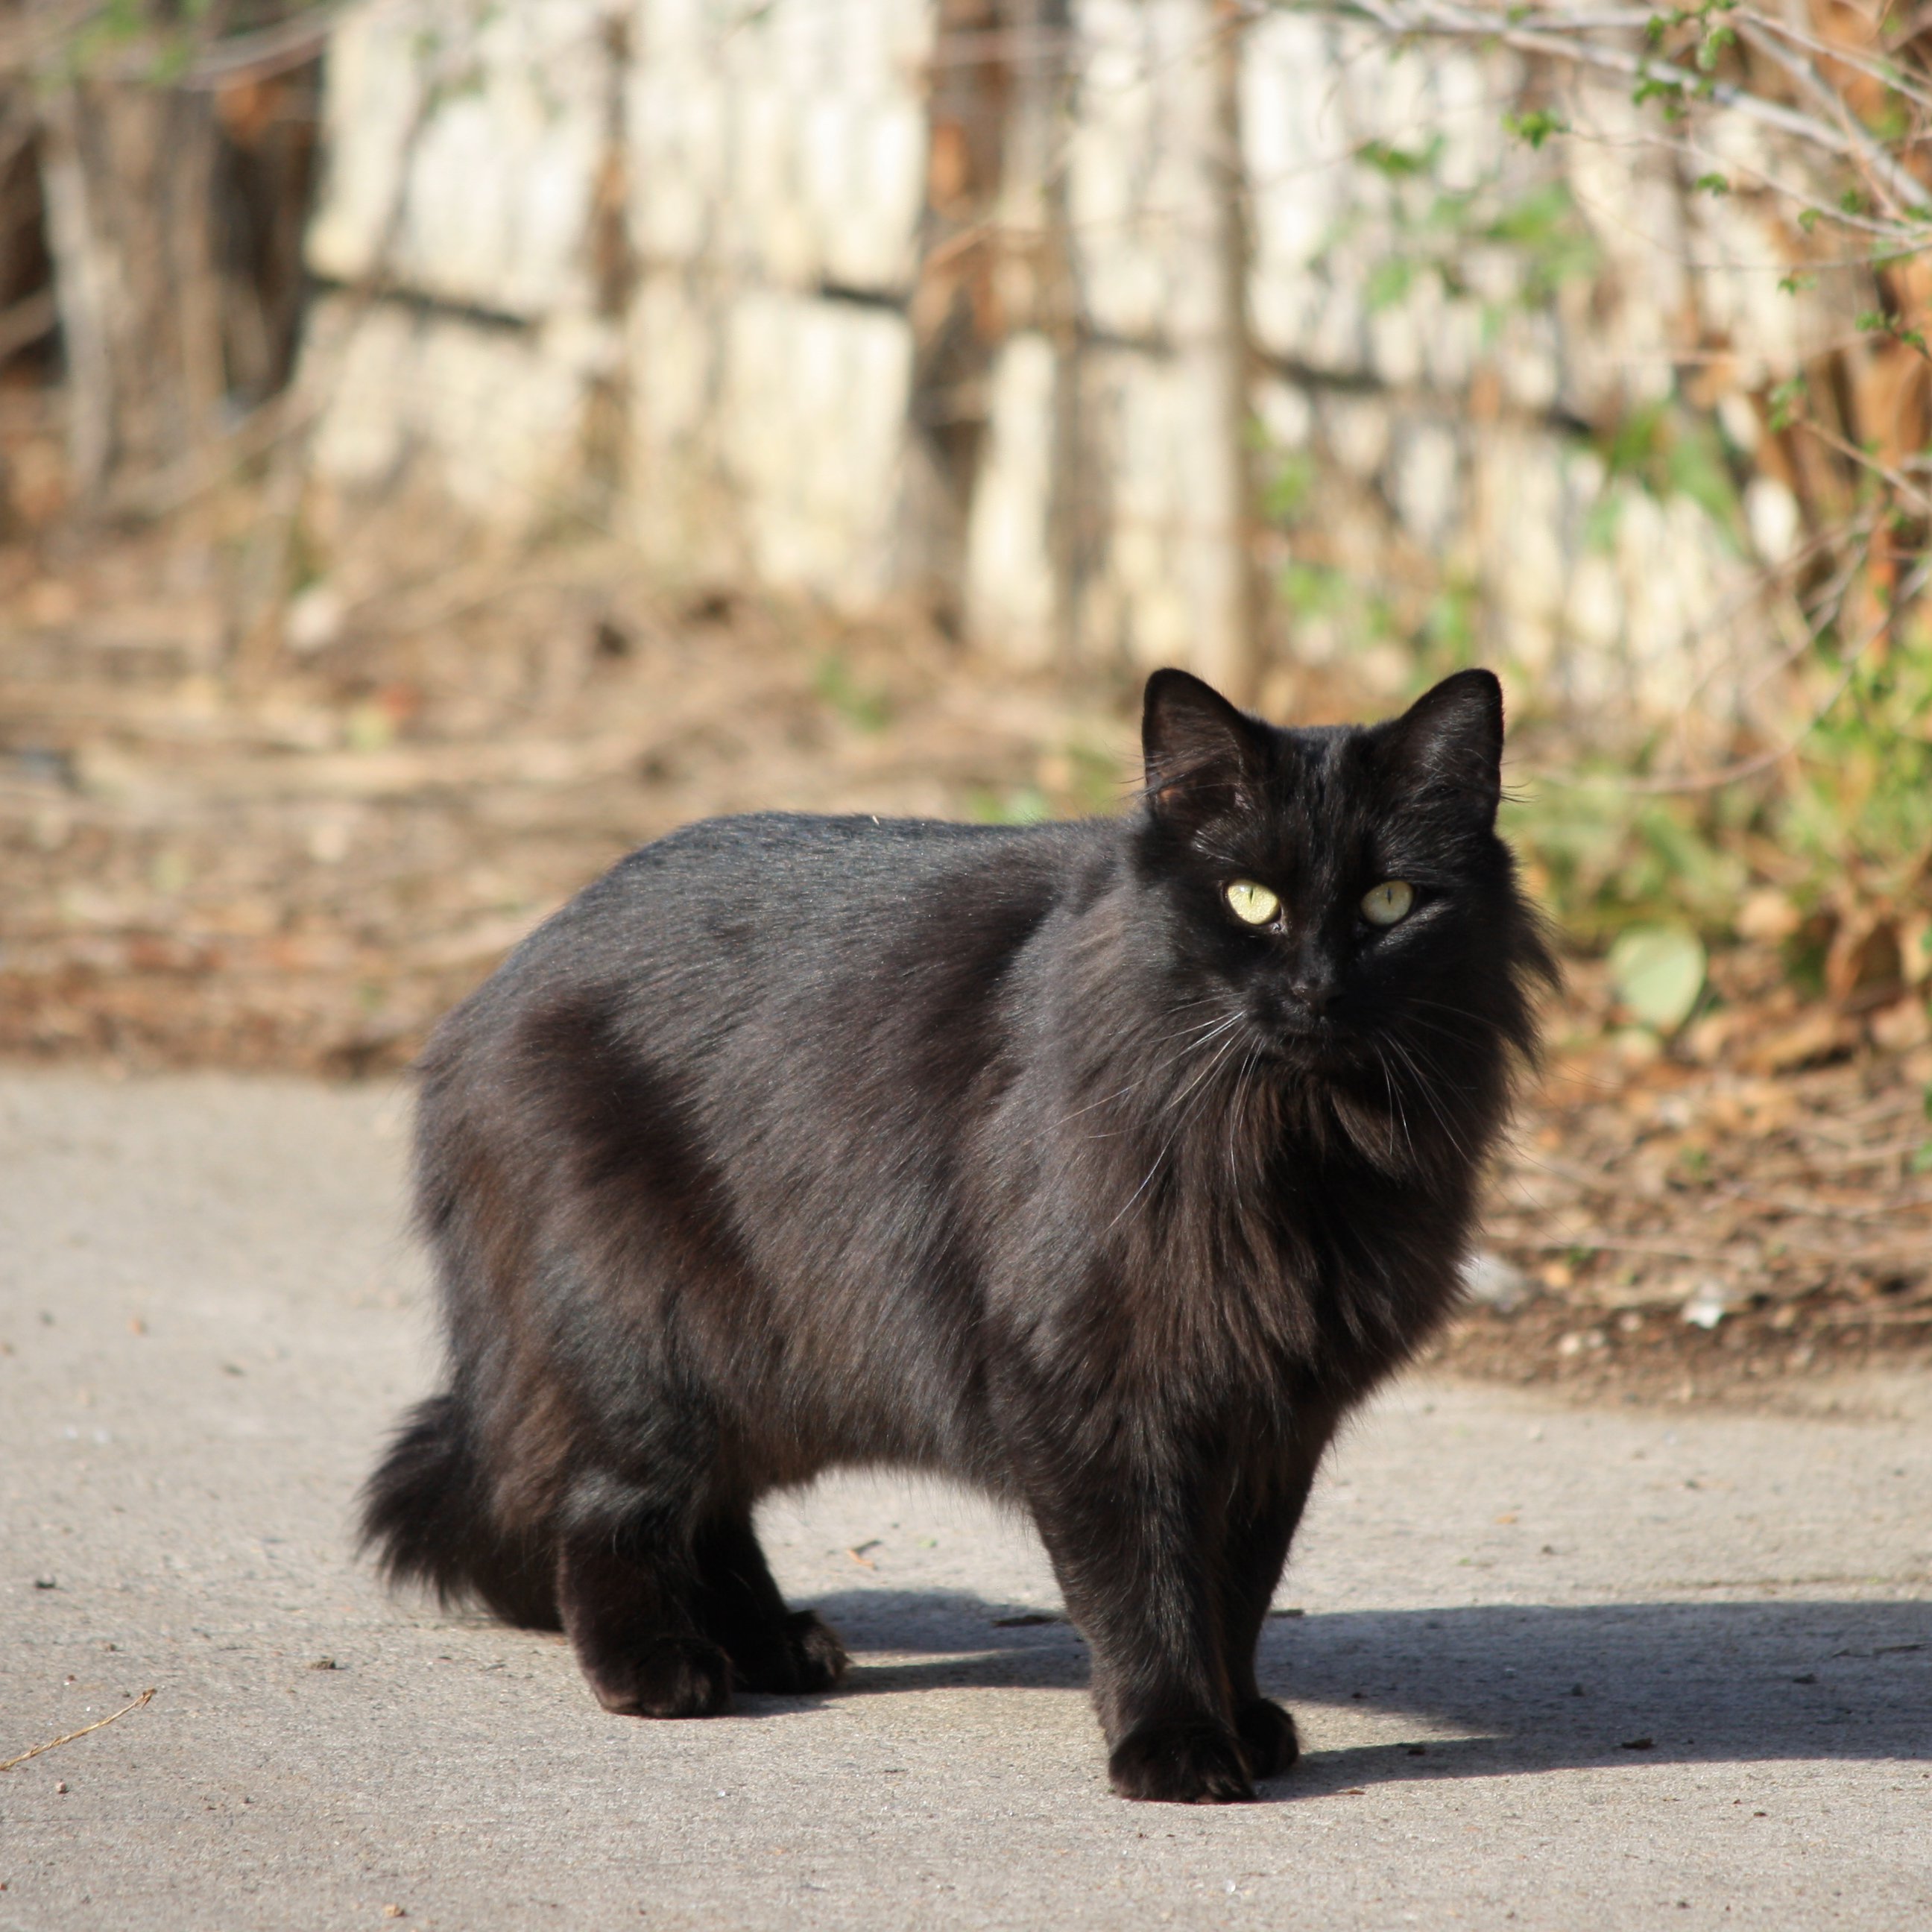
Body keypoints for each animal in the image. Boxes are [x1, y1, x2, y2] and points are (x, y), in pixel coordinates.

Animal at [363, 664, 1553, 1793]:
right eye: (1250, 898)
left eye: (1393, 901)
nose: (1315, 988)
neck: (1294, 1144)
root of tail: (496, 983)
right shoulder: (1100, 1391)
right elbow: (1147, 1589)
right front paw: (1175, 1744)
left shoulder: (1271, 1413)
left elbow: (1237, 1592)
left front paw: (1243, 1720)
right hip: (649, 1332)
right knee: (607, 1506)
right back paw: (660, 1666)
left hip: (772, 1358)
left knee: (710, 1510)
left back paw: (773, 1646)